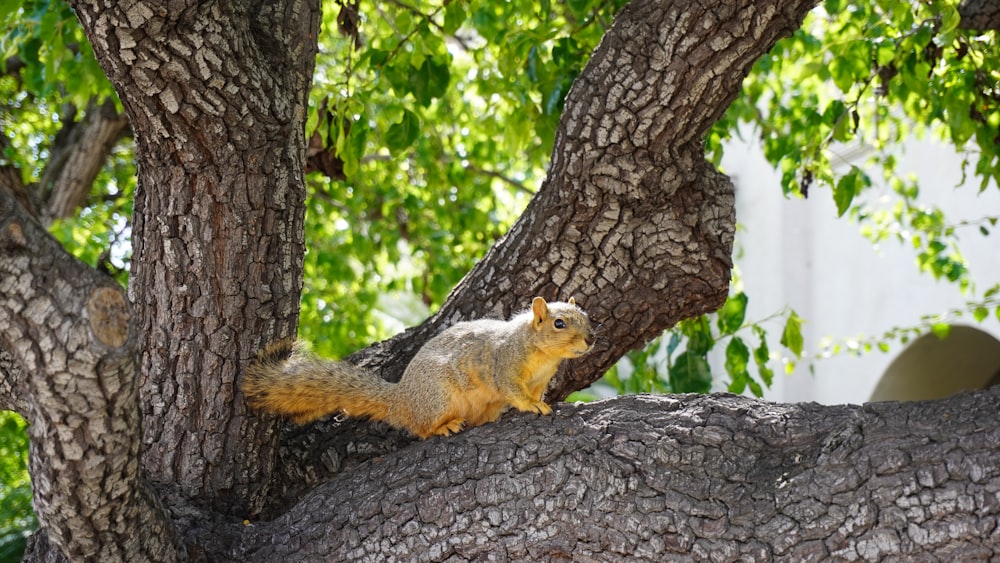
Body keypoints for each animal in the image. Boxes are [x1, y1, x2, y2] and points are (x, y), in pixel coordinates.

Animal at [242, 298, 592, 438]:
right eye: (559, 323)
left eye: (587, 316)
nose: (590, 339)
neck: (544, 356)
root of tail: (401, 401)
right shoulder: (504, 364)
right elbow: (513, 390)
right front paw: (533, 406)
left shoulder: (541, 379)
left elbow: (535, 392)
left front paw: (542, 401)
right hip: (439, 398)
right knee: (421, 429)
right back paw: (443, 427)